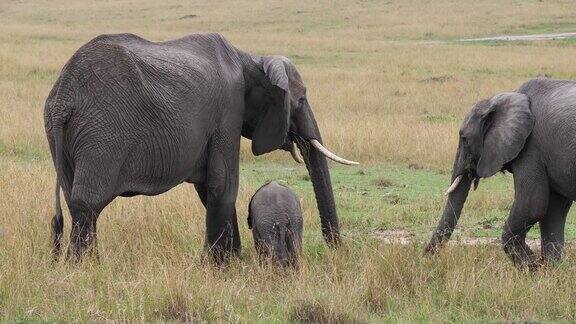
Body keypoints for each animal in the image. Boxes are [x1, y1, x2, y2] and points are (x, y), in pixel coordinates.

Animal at [45, 32, 358, 260]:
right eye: (301, 100)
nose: (337, 249)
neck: (251, 59)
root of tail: (64, 95)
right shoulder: (228, 111)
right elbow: (224, 184)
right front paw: (224, 266)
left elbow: (209, 189)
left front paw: (229, 261)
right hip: (103, 132)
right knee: (87, 202)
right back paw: (84, 268)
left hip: (63, 134)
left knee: (75, 201)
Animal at [424, 78, 576, 268]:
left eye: (464, 139)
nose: (423, 256)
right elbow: (553, 211)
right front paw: (547, 270)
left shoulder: (531, 148)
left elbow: (532, 205)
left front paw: (530, 266)